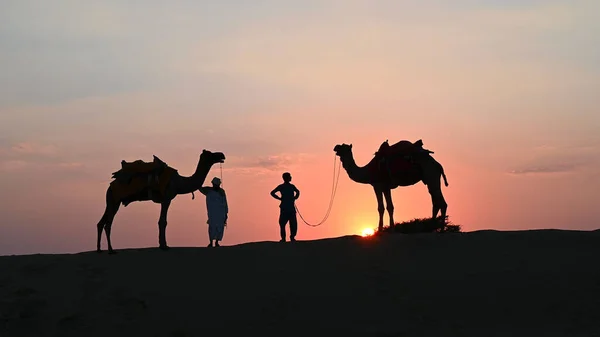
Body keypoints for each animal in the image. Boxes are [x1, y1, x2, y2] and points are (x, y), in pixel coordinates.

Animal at [96, 150, 227, 252]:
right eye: (210, 154)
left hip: (111, 200)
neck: (179, 182)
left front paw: (162, 244)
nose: (222, 154)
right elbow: (163, 222)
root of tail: (110, 186)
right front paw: (164, 246)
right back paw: (111, 250)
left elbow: (162, 221)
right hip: (115, 199)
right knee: (108, 224)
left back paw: (99, 249)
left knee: (101, 222)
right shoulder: (167, 198)